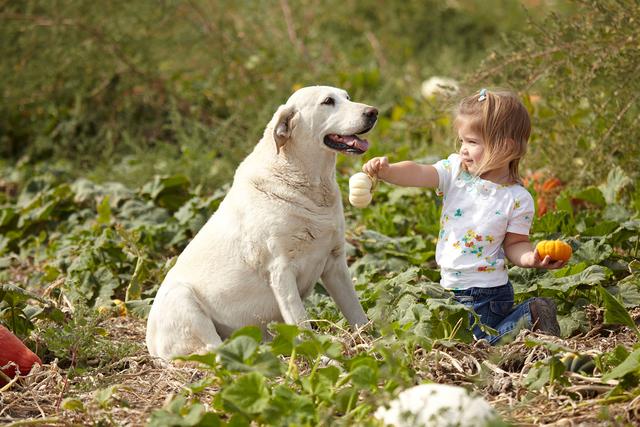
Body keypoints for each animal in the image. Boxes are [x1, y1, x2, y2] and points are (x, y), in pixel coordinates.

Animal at [146, 85, 376, 360]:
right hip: (183, 300)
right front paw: (324, 359)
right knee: (215, 352)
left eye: (348, 97)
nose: (373, 112)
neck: (310, 185)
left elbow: (357, 312)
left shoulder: (336, 264)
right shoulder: (281, 271)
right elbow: (302, 325)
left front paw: (376, 344)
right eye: (328, 101)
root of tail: (150, 346)